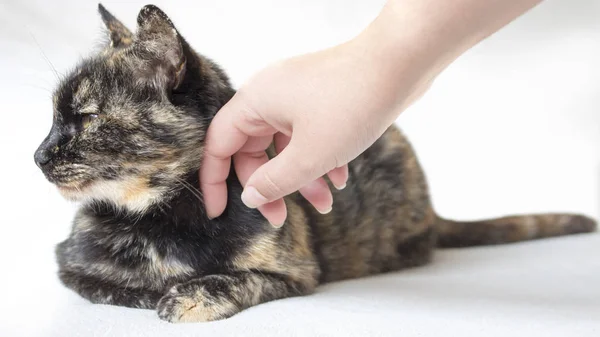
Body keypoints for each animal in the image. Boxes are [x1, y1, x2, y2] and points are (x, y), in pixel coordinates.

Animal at [35, 3, 596, 322]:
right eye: (53, 117)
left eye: (85, 117)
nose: (37, 155)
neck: (160, 218)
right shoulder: (69, 266)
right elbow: (111, 288)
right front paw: (155, 290)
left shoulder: (298, 274)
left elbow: (236, 278)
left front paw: (187, 295)